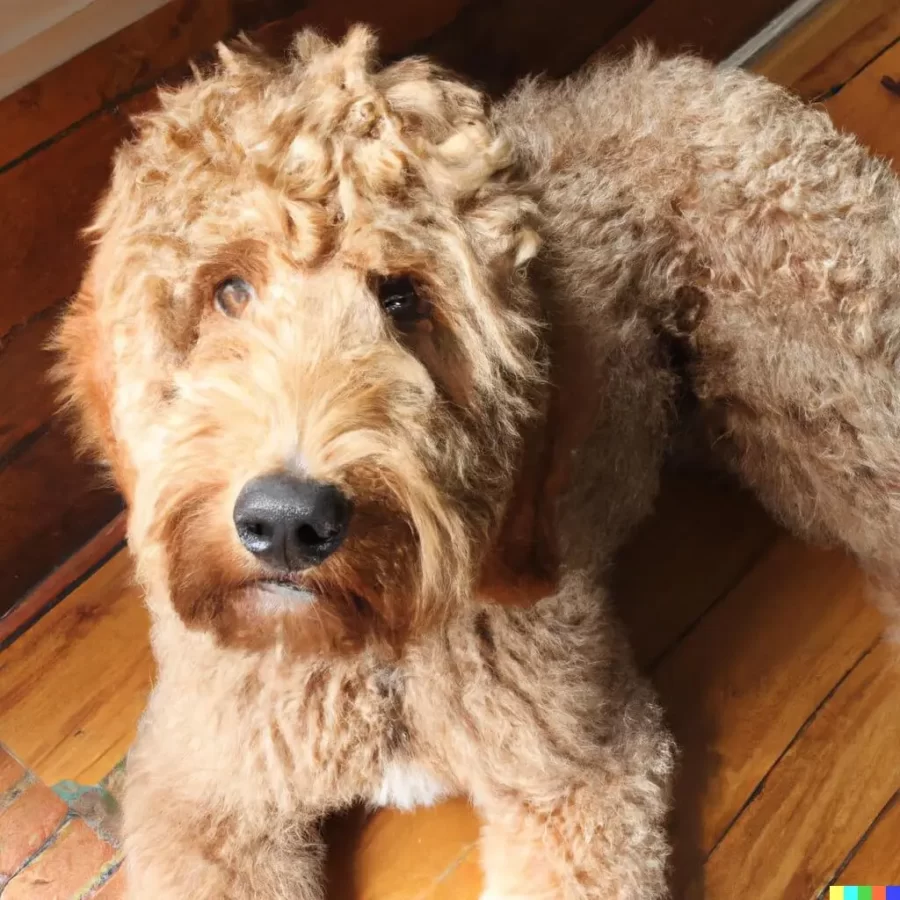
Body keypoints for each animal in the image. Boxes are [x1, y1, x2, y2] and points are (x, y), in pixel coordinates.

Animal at [54, 26, 900, 900]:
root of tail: (715, 80)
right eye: (228, 291)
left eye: (403, 299)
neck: (374, 655)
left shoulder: (577, 768)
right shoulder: (203, 793)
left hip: (822, 401)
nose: (288, 523)